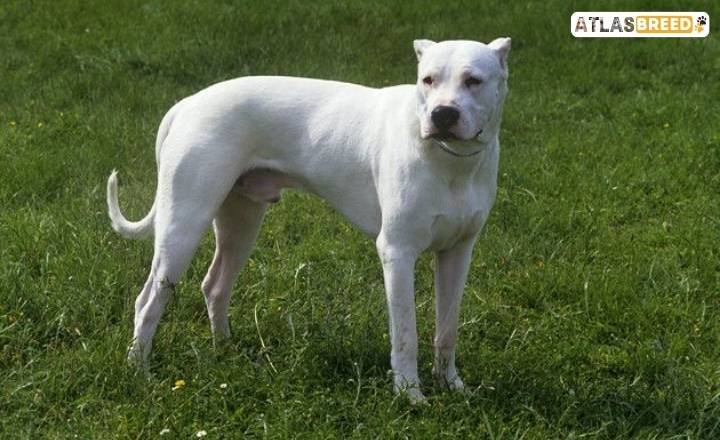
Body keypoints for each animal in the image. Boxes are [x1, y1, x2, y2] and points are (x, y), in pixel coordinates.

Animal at [108, 37, 512, 402]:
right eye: (428, 80)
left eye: (473, 80)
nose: (443, 115)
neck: (450, 162)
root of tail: (187, 105)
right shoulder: (398, 253)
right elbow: (405, 335)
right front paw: (410, 395)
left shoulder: (457, 254)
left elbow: (448, 329)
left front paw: (451, 385)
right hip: (183, 225)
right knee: (148, 301)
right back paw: (139, 372)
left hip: (241, 222)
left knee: (215, 285)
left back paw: (225, 350)